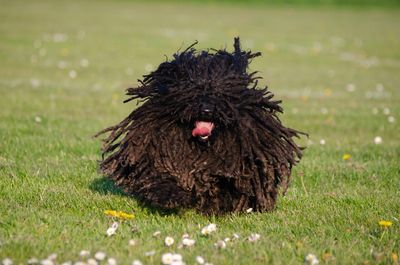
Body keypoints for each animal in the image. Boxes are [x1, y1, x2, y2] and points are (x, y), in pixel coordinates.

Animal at [97, 37, 304, 214]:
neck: (202, 146)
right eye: (191, 91)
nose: (206, 109)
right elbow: (160, 176)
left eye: (222, 93)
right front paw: (172, 195)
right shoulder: (157, 152)